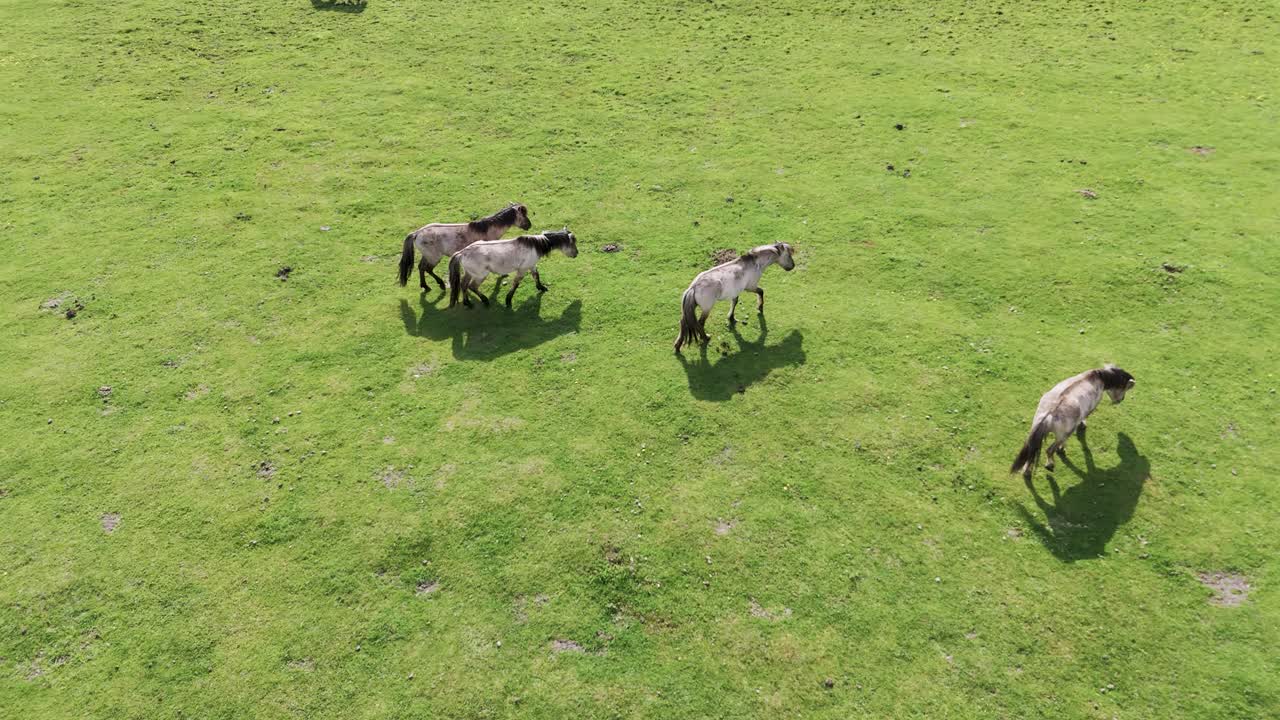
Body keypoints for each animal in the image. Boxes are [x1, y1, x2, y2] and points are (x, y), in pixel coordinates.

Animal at [398, 202, 531, 292]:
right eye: (523, 215)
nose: (529, 225)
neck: (487, 229)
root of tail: (416, 233)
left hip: (427, 256)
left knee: (421, 267)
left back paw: (425, 286)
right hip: (434, 257)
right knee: (427, 269)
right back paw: (440, 284)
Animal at [448, 229, 579, 308]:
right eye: (572, 243)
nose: (576, 254)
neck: (536, 245)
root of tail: (462, 252)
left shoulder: (531, 265)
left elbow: (536, 276)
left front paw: (541, 287)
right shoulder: (522, 269)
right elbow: (516, 284)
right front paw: (508, 300)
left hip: (469, 273)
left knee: (463, 284)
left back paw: (467, 303)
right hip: (481, 275)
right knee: (472, 286)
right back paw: (484, 300)